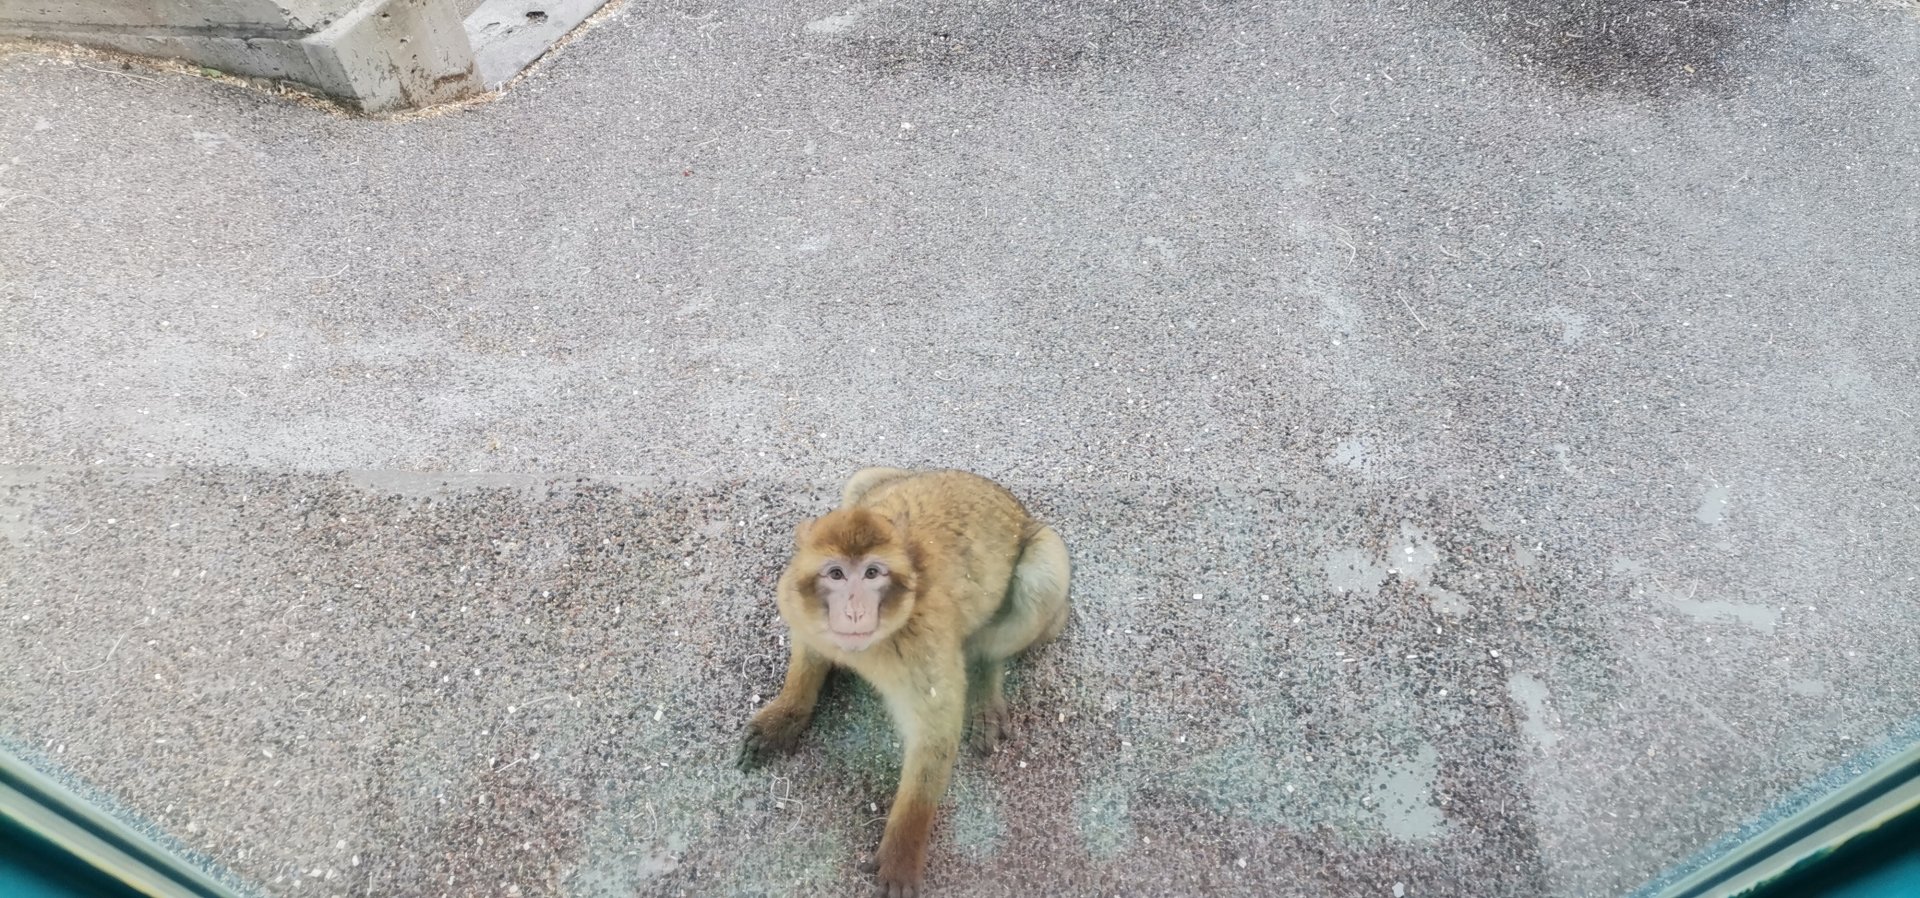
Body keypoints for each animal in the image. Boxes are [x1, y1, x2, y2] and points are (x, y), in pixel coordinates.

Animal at [738, 467, 1071, 897]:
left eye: (872, 574)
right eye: (835, 574)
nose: (854, 610)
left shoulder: (923, 640)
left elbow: (934, 734)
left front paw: (902, 852)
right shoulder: (796, 601)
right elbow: (809, 651)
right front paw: (787, 714)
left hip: (1048, 593)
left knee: (1034, 585)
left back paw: (983, 677)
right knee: (862, 479)